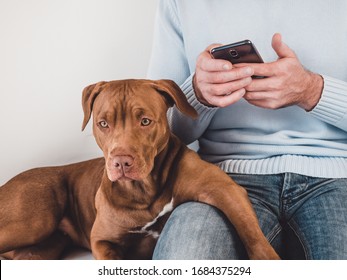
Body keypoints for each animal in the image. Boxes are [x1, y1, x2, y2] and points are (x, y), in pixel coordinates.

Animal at [0, 78, 278, 258]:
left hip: (40, 245)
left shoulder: (223, 189)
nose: (121, 161)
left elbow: (254, 236)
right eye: (103, 123)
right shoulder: (102, 241)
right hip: (34, 219)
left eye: (145, 121)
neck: (143, 190)